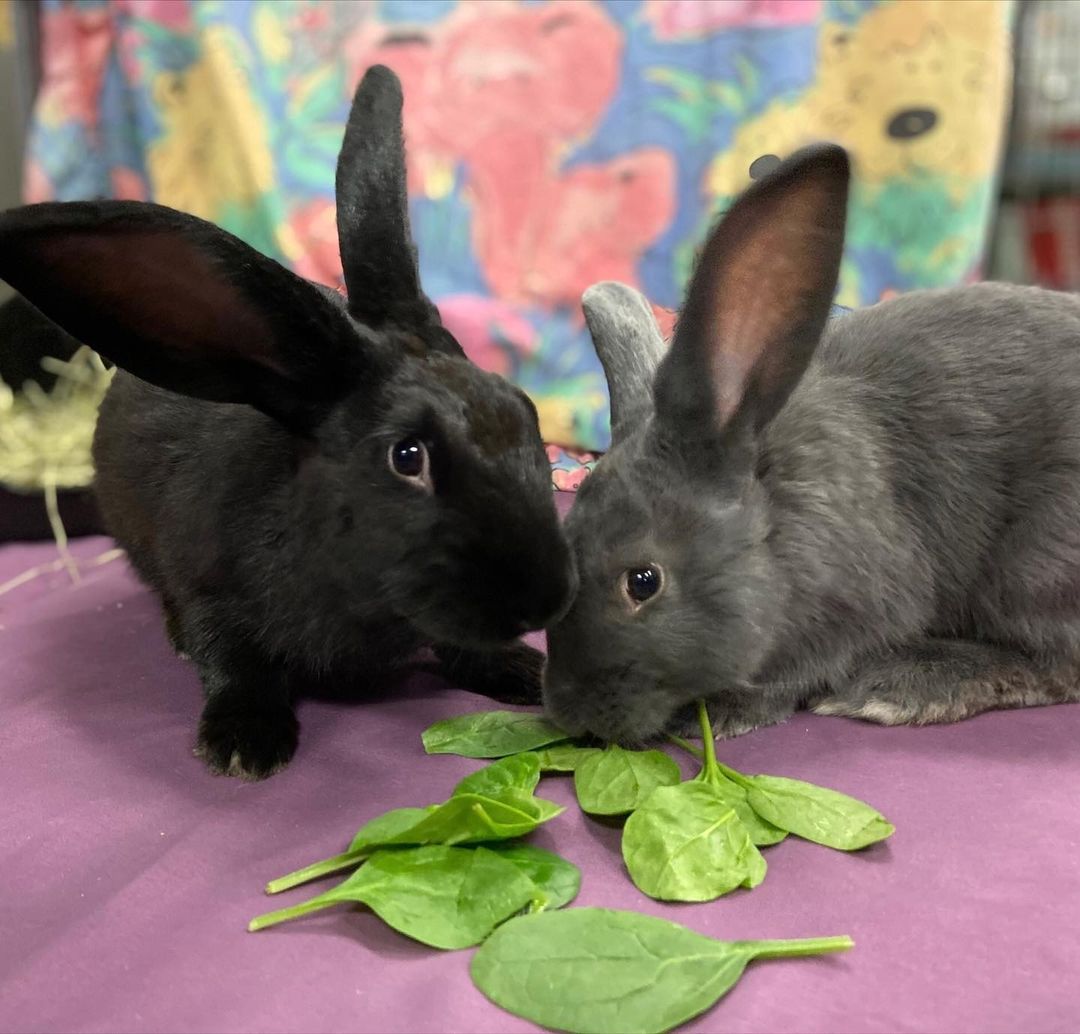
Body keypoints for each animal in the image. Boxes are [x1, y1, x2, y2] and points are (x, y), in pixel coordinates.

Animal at [0, 66, 574, 773]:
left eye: (525, 412)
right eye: (407, 457)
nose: (548, 598)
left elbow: (462, 645)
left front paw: (520, 672)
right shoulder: (211, 594)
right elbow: (233, 662)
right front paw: (244, 744)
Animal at [544, 143, 1080, 743]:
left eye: (643, 582)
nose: (568, 711)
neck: (776, 522)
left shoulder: (853, 611)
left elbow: (796, 673)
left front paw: (723, 711)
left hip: (1036, 566)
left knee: (1055, 664)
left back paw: (902, 686)